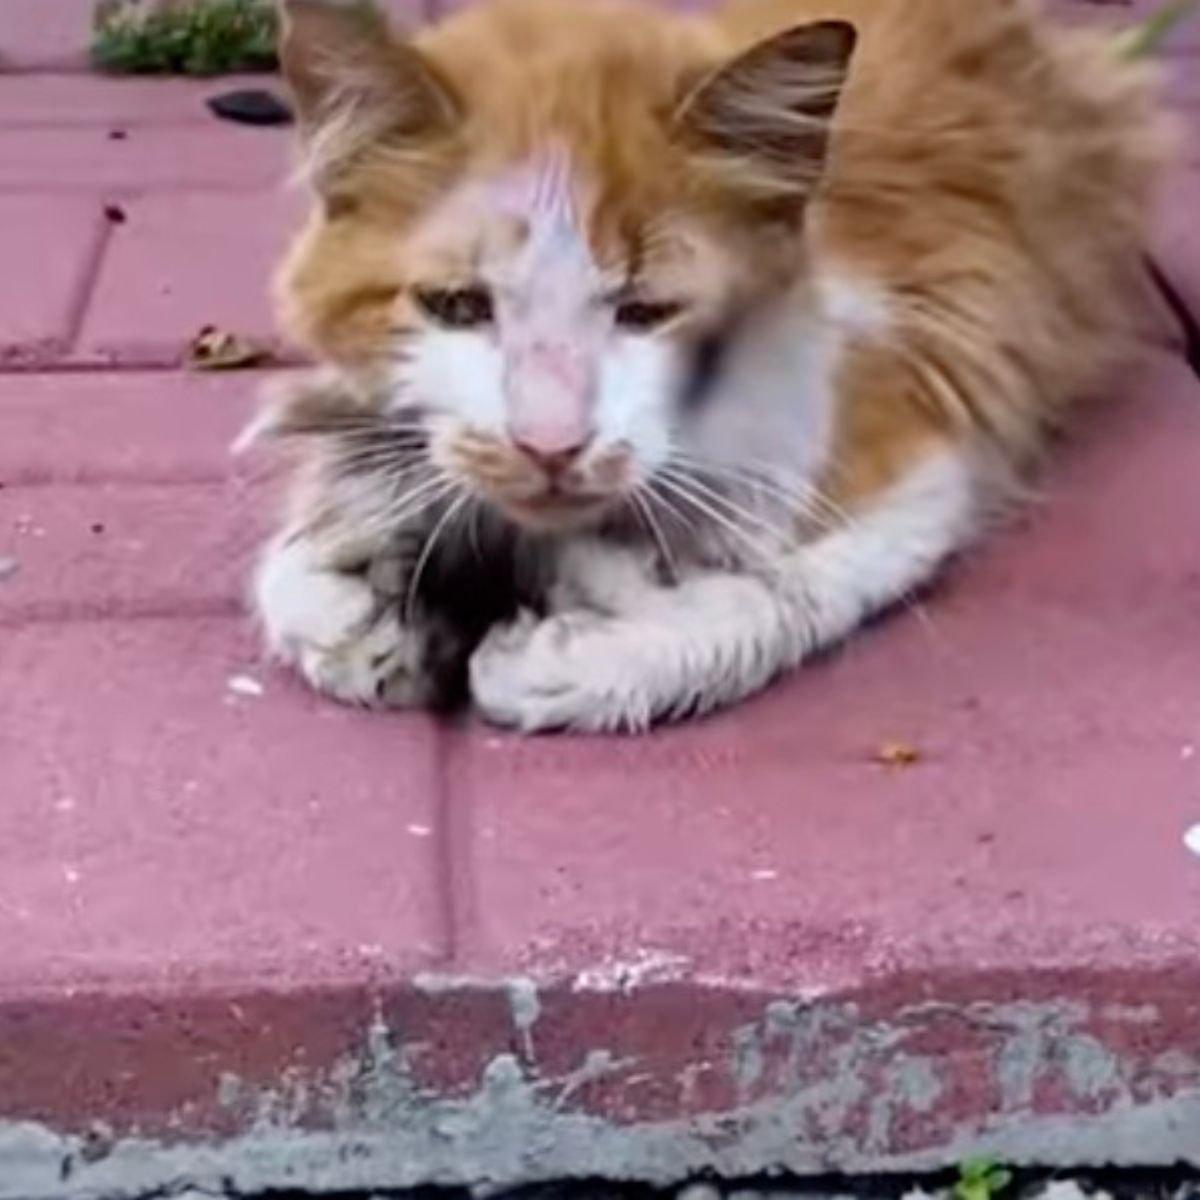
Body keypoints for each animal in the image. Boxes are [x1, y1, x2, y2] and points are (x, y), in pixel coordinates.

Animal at [248, 0, 1176, 729]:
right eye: (457, 306)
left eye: (646, 313)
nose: (550, 448)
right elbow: (294, 568)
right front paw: (360, 599)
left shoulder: (917, 439)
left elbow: (780, 591)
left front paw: (586, 645)